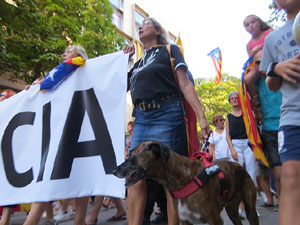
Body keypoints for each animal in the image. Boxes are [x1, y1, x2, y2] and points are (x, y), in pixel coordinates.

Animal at [113, 141, 258, 225]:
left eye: (132, 156)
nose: (114, 170)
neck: (183, 179)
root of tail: (240, 166)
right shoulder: (185, 221)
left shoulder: (215, 220)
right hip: (232, 210)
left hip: (250, 210)